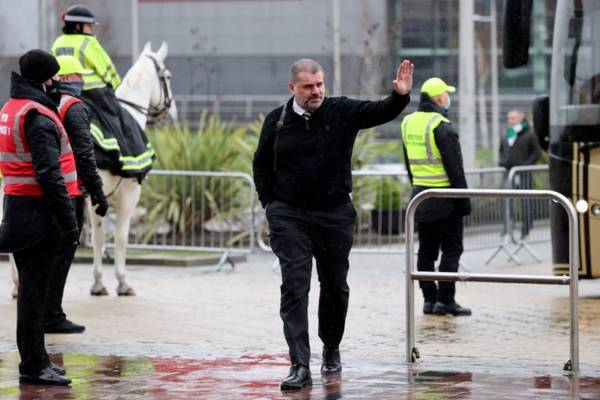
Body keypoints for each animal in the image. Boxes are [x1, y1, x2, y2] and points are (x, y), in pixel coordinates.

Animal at [9, 42, 176, 296]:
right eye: (166, 76)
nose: (172, 112)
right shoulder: (126, 195)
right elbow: (117, 236)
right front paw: (119, 281)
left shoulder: (95, 198)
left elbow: (99, 236)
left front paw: (99, 282)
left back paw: (17, 284)